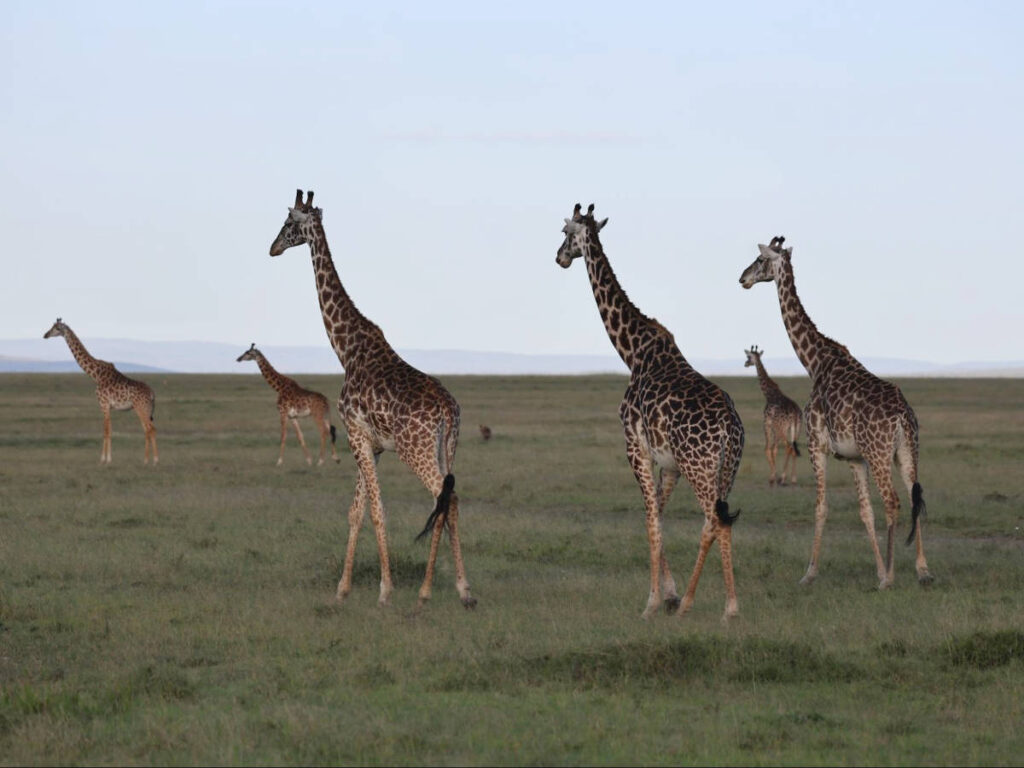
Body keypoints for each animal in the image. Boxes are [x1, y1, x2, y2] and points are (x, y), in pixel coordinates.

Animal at [42, 318, 158, 465]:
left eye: (57, 328)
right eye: (52, 326)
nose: (45, 335)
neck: (95, 375)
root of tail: (152, 394)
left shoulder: (104, 404)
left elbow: (106, 431)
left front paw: (104, 459)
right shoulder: (108, 406)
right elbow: (109, 430)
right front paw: (107, 458)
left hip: (141, 408)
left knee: (151, 429)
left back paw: (154, 460)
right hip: (146, 410)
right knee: (148, 430)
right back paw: (147, 460)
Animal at [269, 190, 476, 609]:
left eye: (289, 223)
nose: (273, 247)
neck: (346, 349)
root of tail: (448, 411)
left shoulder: (355, 434)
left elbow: (377, 510)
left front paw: (384, 589)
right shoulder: (374, 445)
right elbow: (356, 511)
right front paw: (343, 588)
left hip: (416, 450)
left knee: (444, 499)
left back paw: (440, 590)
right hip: (449, 447)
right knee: (450, 501)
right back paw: (449, 588)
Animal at [557, 204, 745, 621]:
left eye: (564, 231)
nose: (558, 257)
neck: (633, 351)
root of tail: (730, 427)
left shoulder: (635, 447)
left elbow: (650, 520)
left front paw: (653, 602)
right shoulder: (669, 463)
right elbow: (659, 514)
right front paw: (668, 593)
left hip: (700, 467)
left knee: (714, 522)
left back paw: (718, 606)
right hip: (726, 469)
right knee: (719, 520)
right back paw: (707, 603)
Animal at [743, 345, 802, 486]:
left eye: (749, 356)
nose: (745, 363)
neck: (769, 394)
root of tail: (795, 413)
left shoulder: (767, 424)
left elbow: (768, 449)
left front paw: (772, 477)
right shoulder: (776, 427)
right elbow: (773, 449)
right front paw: (775, 476)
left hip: (782, 428)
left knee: (787, 446)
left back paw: (782, 478)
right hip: (796, 429)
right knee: (792, 448)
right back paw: (793, 478)